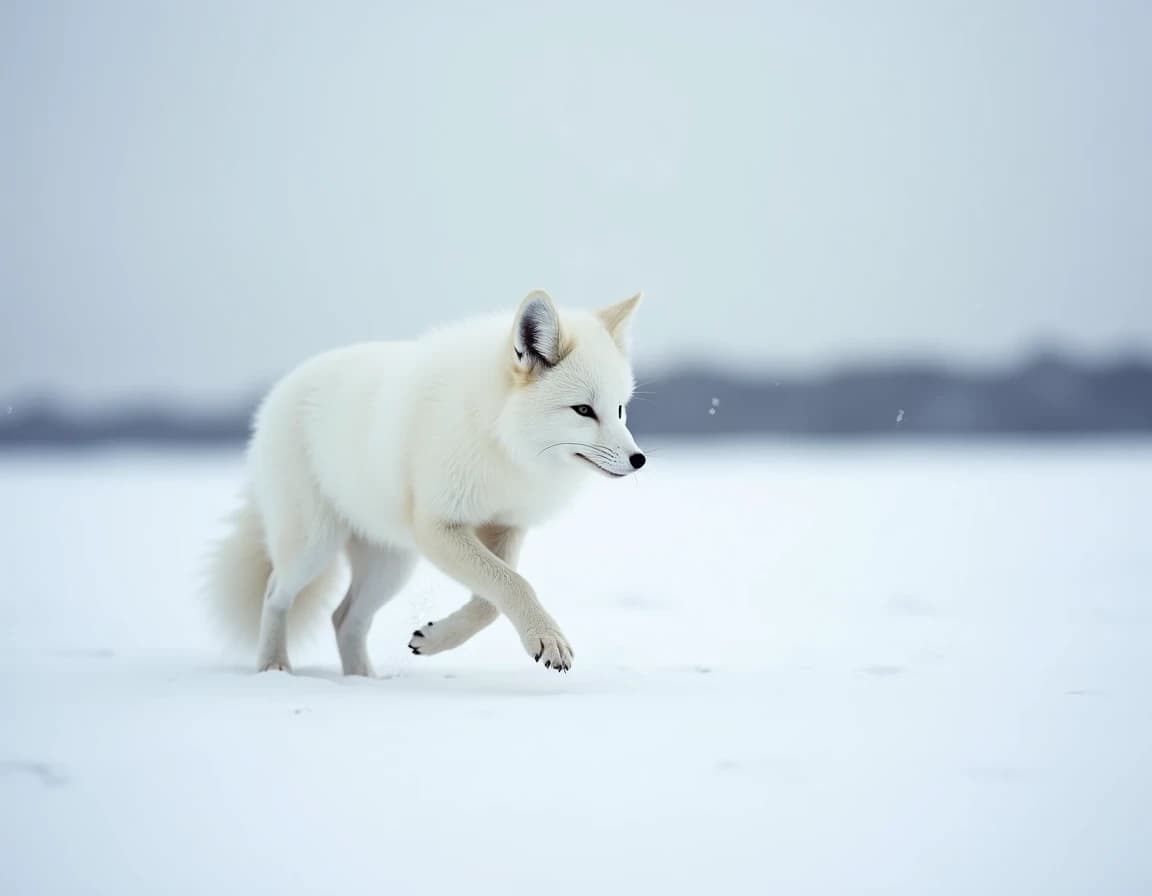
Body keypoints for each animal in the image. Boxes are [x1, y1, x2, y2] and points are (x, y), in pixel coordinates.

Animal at [206, 289, 645, 676]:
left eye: (620, 409)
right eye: (583, 410)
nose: (638, 460)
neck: (501, 442)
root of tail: (283, 386)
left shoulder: (506, 525)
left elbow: (491, 601)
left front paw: (434, 639)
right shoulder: (438, 526)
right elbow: (513, 584)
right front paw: (548, 638)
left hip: (391, 565)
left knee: (344, 618)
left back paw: (362, 680)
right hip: (313, 548)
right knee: (275, 594)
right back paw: (274, 666)